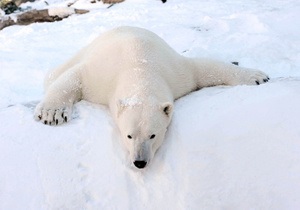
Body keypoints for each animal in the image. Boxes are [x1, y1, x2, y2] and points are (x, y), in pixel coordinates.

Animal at [35, 25, 270, 169]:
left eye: (153, 135)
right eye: (129, 135)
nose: (139, 162)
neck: (139, 65)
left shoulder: (174, 72)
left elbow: (204, 69)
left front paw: (257, 76)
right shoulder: (101, 76)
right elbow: (76, 78)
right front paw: (51, 114)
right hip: (84, 51)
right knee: (57, 73)